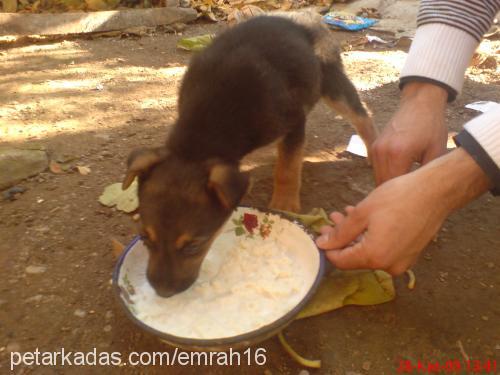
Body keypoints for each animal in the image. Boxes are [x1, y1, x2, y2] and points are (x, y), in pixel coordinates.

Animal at [123, 13, 376, 298]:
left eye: (193, 246)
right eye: (145, 238)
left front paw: (284, 203)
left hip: (332, 81)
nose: (163, 292)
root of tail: (306, 16)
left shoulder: (294, 121)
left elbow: (288, 167)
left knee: (363, 116)